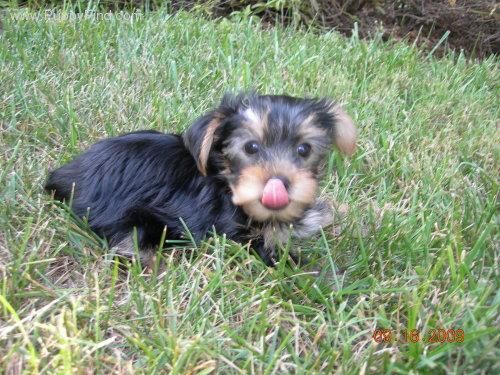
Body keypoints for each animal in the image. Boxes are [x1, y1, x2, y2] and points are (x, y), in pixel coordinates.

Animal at [46, 92, 356, 266]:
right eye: (251, 147)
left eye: (304, 150)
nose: (279, 184)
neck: (228, 182)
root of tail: (68, 173)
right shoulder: (239, 236)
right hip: (129, 214)